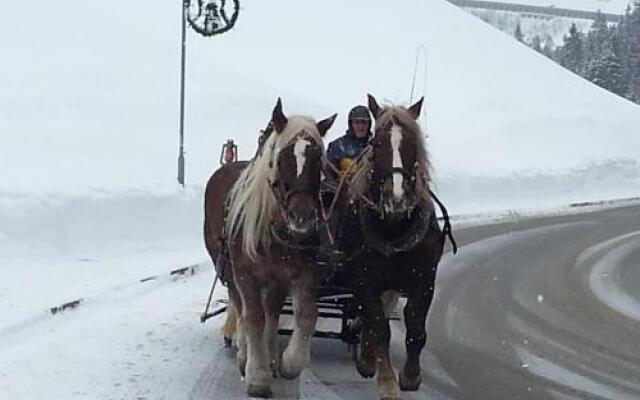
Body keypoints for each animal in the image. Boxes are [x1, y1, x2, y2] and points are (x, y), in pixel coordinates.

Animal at [204, 98, 336, 398]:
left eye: (318, 161)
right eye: (281, 159)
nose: (303, 217)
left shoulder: (302, 274)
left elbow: (306, 315)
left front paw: (287, 363)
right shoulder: (245, 274)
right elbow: (253, 317)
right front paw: (257, 375)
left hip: (276, 279)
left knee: (273, 311)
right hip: (228, 268)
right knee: (241, 306)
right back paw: (246, 354)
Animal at [338, 94, 448, 400]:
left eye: (413, 143)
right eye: (376, 143)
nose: (396, 197)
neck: (395, 225)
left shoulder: (425, 277)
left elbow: (415, 326)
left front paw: (411, 376)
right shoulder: (364, 277)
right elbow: (379, 328)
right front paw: (387, 381)